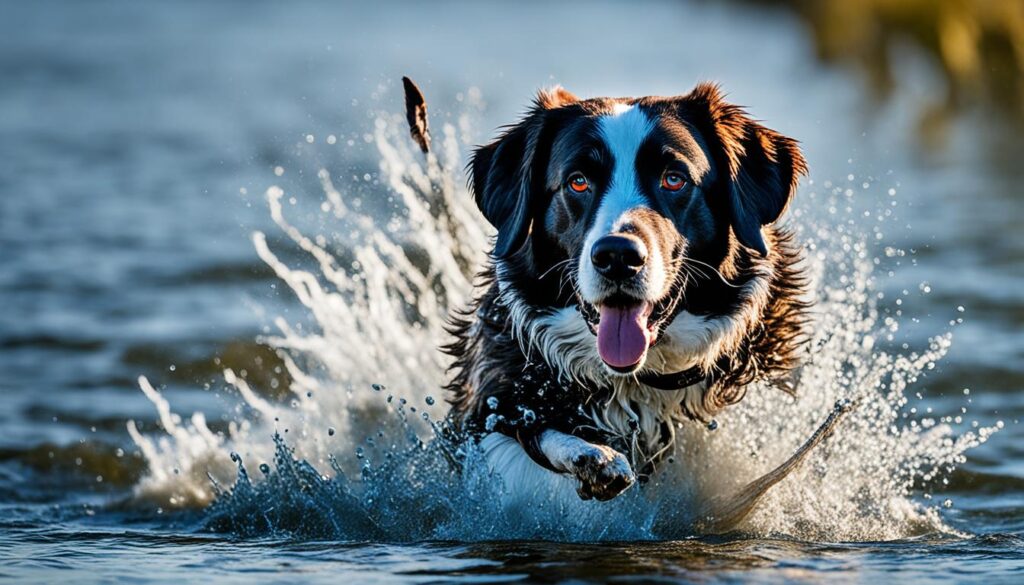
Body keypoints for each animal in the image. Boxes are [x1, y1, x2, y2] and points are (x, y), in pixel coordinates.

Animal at [403, 78, 811, 508]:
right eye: (578, 181)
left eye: (674, 179)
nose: (618, 256)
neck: (640, 379)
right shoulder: (486, 409)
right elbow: (530, 433)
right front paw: (591, 457)